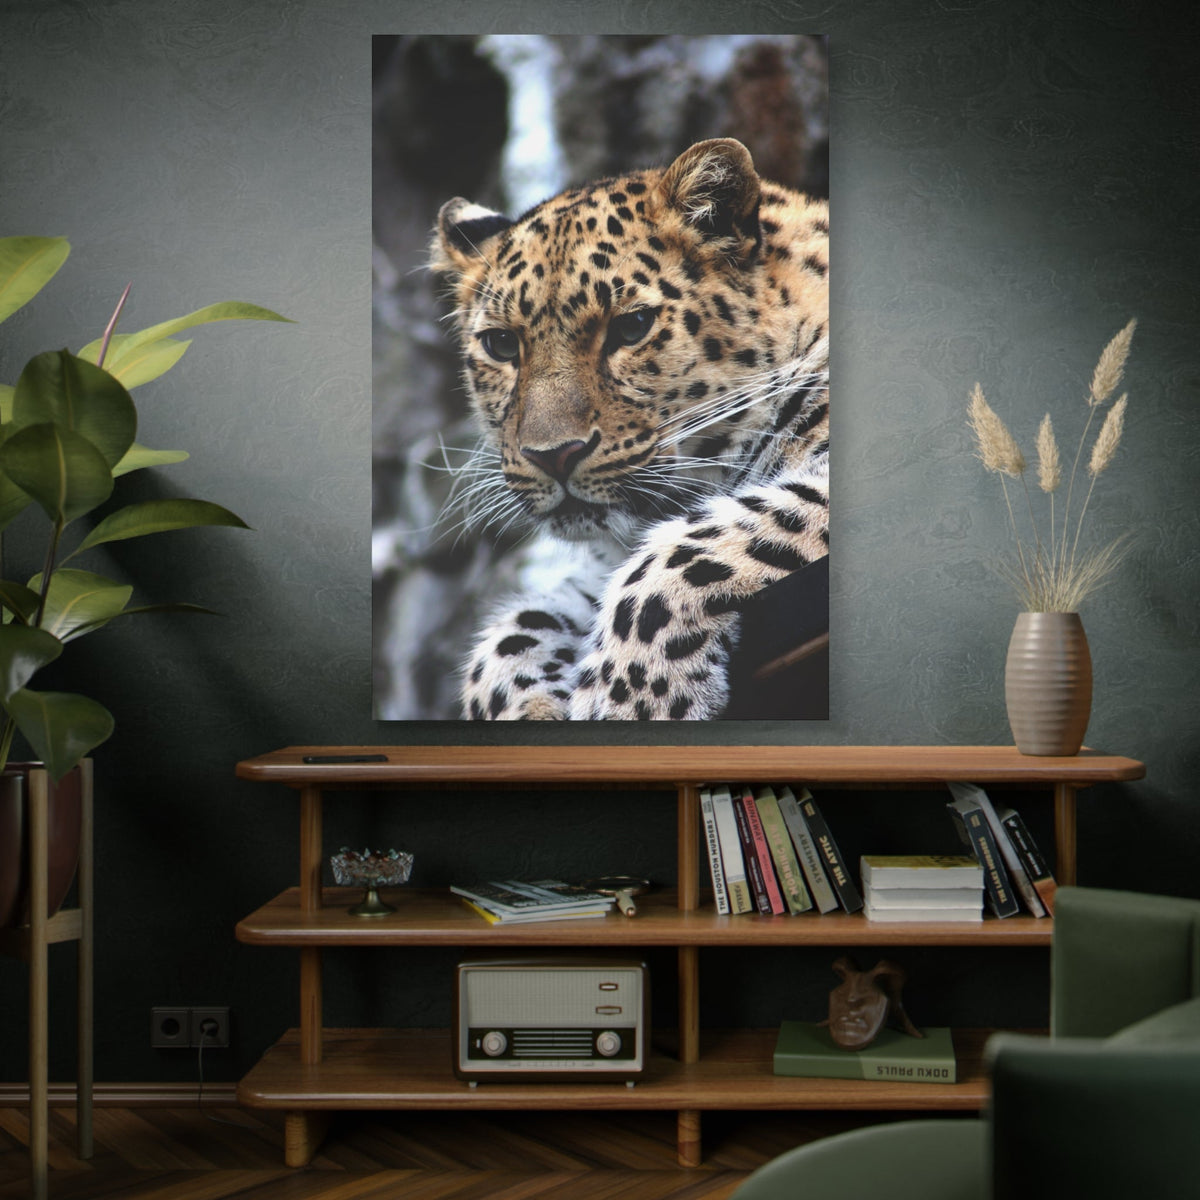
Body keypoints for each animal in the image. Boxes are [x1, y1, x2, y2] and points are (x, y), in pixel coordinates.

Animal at [430, 137, 828, 720]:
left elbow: (685, 551)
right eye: (501, 345)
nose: (552, 454)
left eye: (632, 327)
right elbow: (511, 634)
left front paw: (632, 700)